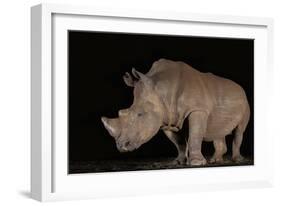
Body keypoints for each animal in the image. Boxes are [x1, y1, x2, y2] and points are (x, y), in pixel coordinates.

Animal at [100, 58, 249, 166]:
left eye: (140, 114)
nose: (121, 146)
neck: (161, 89)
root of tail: (240, 88)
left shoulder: (197, 109)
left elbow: (195, 135)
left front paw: (196, 163)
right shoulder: (167, 119)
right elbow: (179, 143)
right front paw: (178, 162)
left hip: (245, 102)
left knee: (239, 130)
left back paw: (237, 160)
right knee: (219, 128)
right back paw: (216, 160)